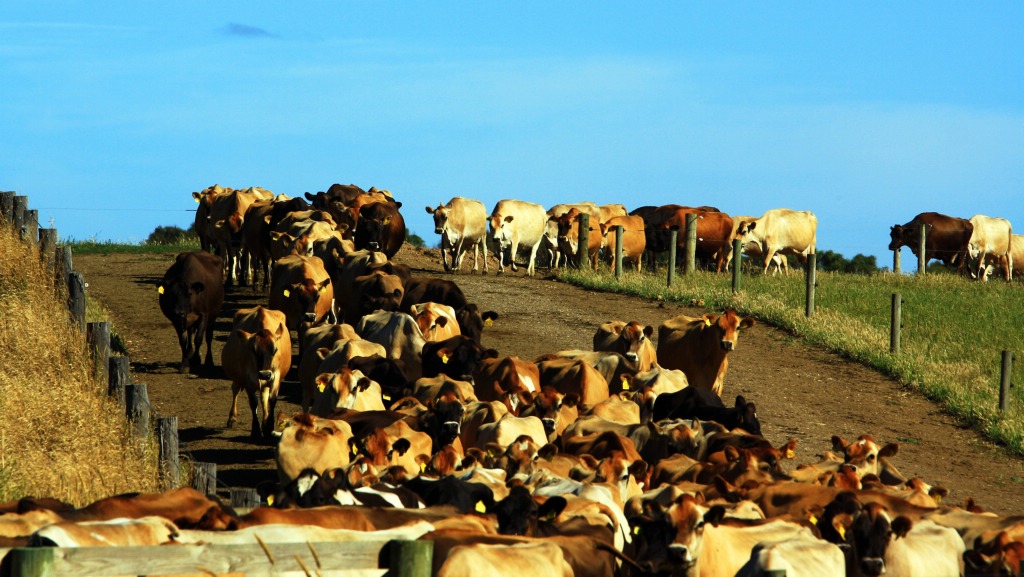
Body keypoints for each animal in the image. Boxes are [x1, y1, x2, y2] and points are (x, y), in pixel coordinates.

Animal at [222, 307, 290, 438]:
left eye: (275, 350)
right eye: (253, 350)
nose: (265, 374)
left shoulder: (275, 377)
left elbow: (272, 400)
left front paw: (268, 426)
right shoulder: (248, 378)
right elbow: (253, 403)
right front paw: (256, 430)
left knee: (264, 397)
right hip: (238, 377)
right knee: (235, 390)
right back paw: (232, 417)